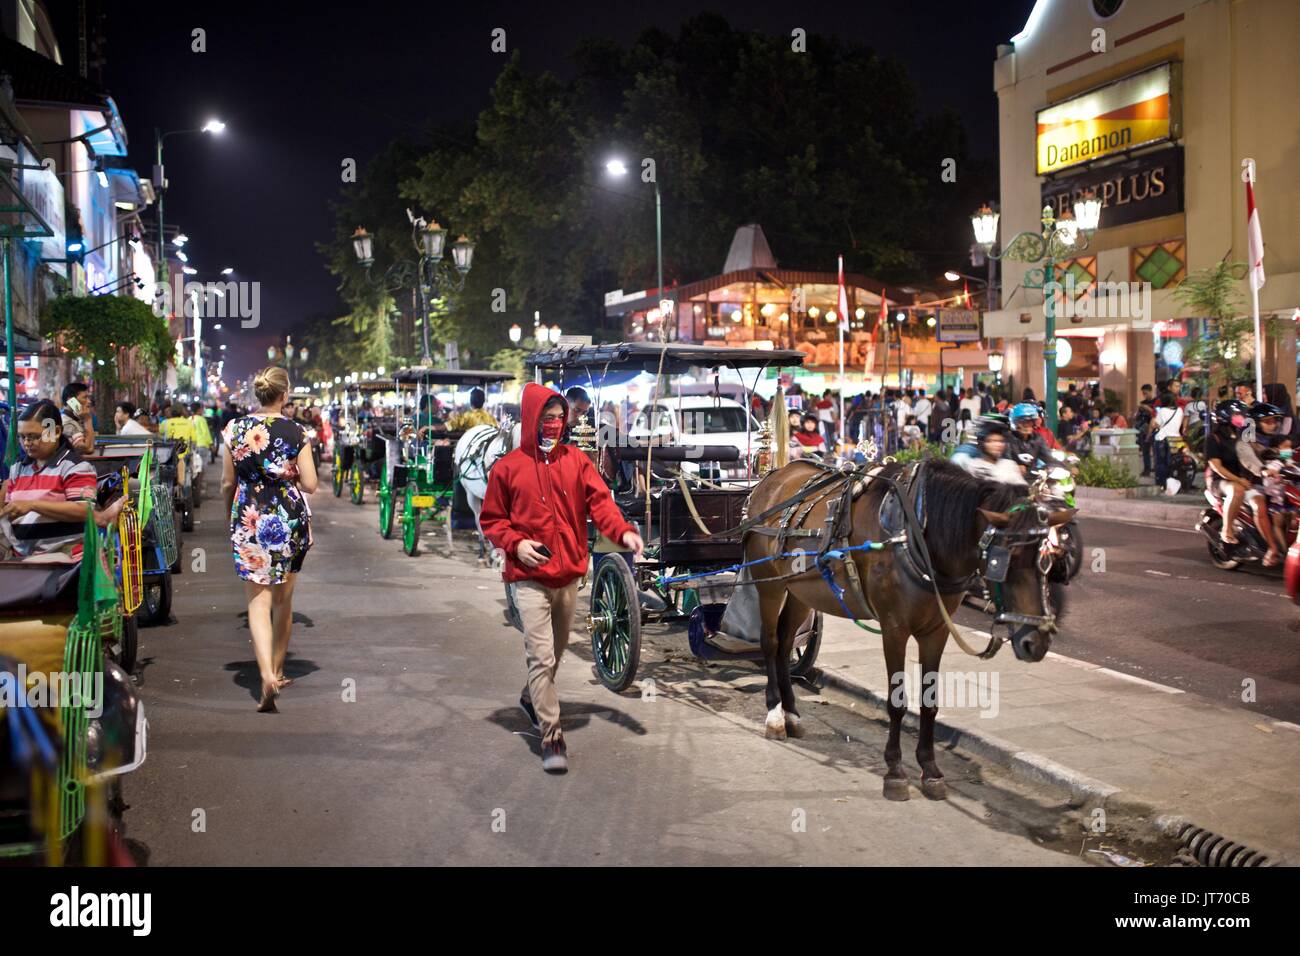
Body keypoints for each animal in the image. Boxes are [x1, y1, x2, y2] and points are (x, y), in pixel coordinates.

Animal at [748, 455, 1071, 801]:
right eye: (1002, 560)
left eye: (1047, 561)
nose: (1036, 642)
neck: (920, 534)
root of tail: (777, 474)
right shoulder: (895, 628)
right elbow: (897, 701)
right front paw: (894, 770)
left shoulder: (936, 630)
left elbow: (929, 703)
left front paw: (930, 769)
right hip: (768, 583)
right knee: (770, 642)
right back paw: (774, 714)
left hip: (800, 590)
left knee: (785, 642)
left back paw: (792, 713)